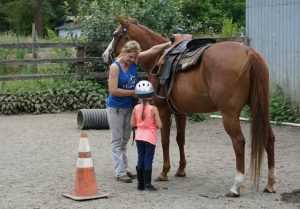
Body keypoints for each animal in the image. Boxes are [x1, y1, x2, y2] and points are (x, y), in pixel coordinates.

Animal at [102, 16, 276, 198]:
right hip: (261, 108)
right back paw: (270, 183)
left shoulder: (163, 111)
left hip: (229, 114)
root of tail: (250, 53)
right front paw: (181, 170)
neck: (157, 57)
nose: (106, 55)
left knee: (239, 142)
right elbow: (180, 139)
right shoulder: (181, 112)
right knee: (269, 138)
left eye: (115, 35)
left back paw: (236, 186)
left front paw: (164, 172)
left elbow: (165, 140)